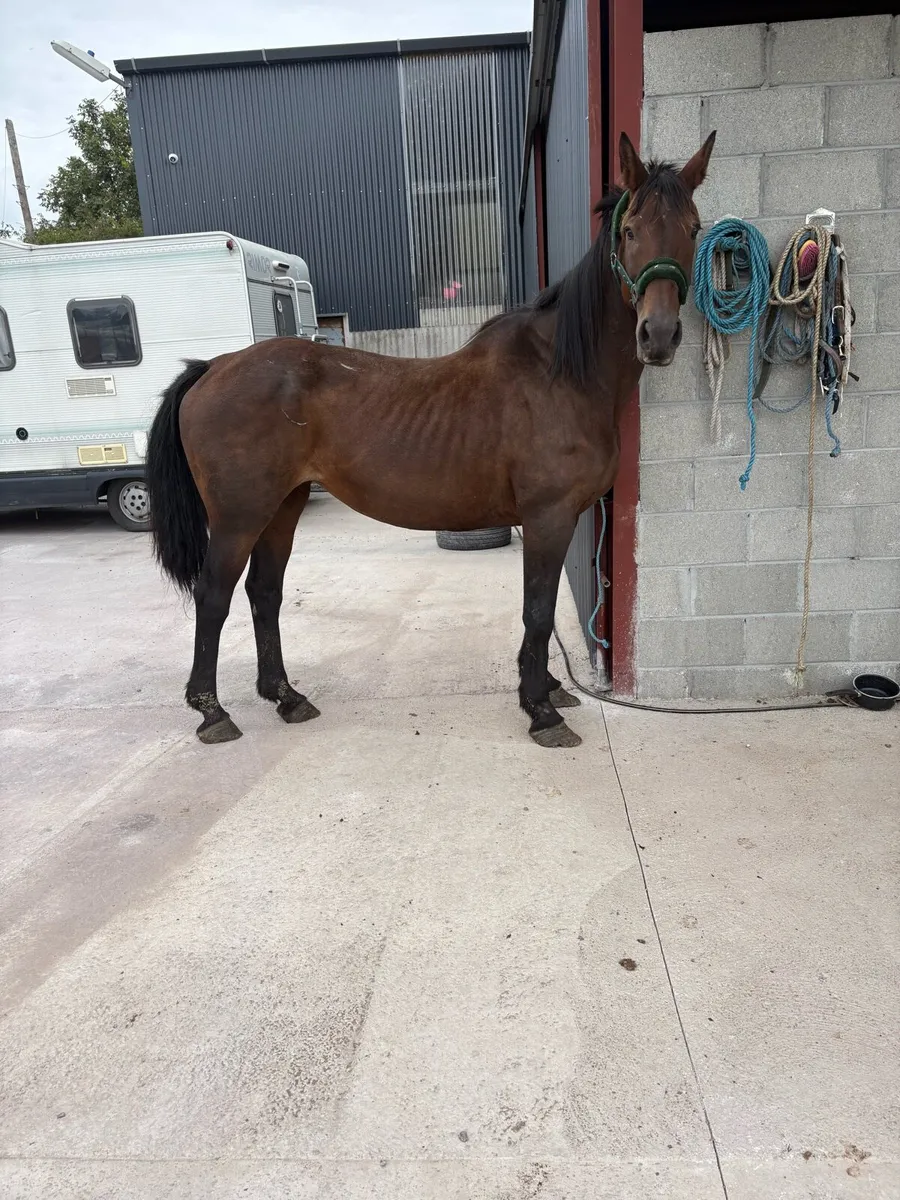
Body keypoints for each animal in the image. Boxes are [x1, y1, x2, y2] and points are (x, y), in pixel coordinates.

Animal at [145, 132, 715, 748]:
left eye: (694, 228)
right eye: (630, 230)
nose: (658, 335)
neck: (561, 373)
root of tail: (214, 366)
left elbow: (535, 612)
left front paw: (545, 690)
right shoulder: (547, 516)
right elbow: (537, 612)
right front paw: (542, 710)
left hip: (283, 506)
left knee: (264, 594)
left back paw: (287, 698)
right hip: (239, 515)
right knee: (214, 596)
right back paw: (211, 712)